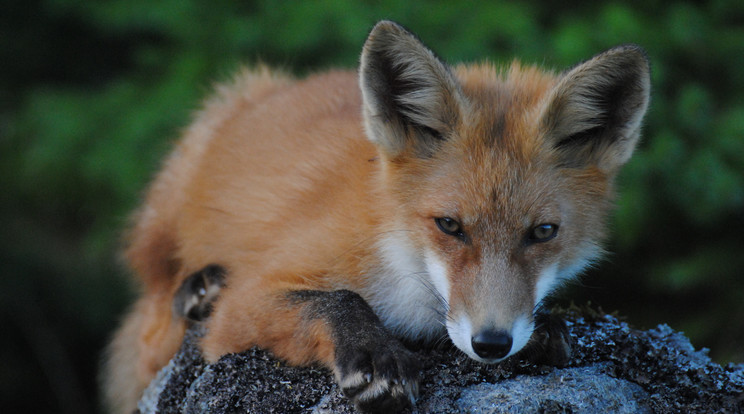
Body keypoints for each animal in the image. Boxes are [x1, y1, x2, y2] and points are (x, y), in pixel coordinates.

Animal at [101, 21, 648, 414]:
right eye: (449, 226)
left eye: (543, 233)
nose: (492, 344)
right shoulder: (244, 305)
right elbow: (337, 300)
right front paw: (374, 355)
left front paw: (546, 328)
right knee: (152, 311)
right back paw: (197, 289)